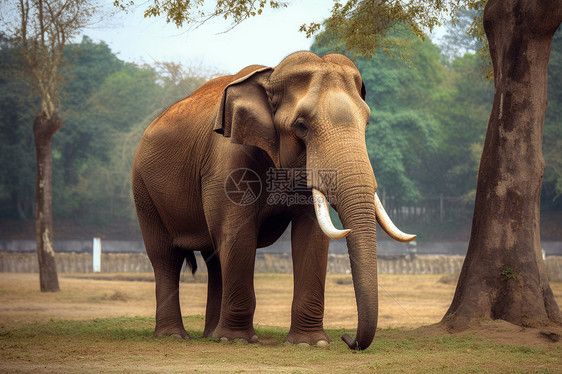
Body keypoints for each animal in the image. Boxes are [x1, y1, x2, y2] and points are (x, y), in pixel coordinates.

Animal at [130, 50, 412, 350]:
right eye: (301, 126)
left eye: (366, 122)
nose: (347, 338)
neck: (269, 77)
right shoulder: (228, 163)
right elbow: (237, 235)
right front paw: (238, 340)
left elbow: (312, 236)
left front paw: (310, 344)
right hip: (142, 188)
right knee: (165, 256)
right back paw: (175, 335)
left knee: (214, 258)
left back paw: (211, 336)